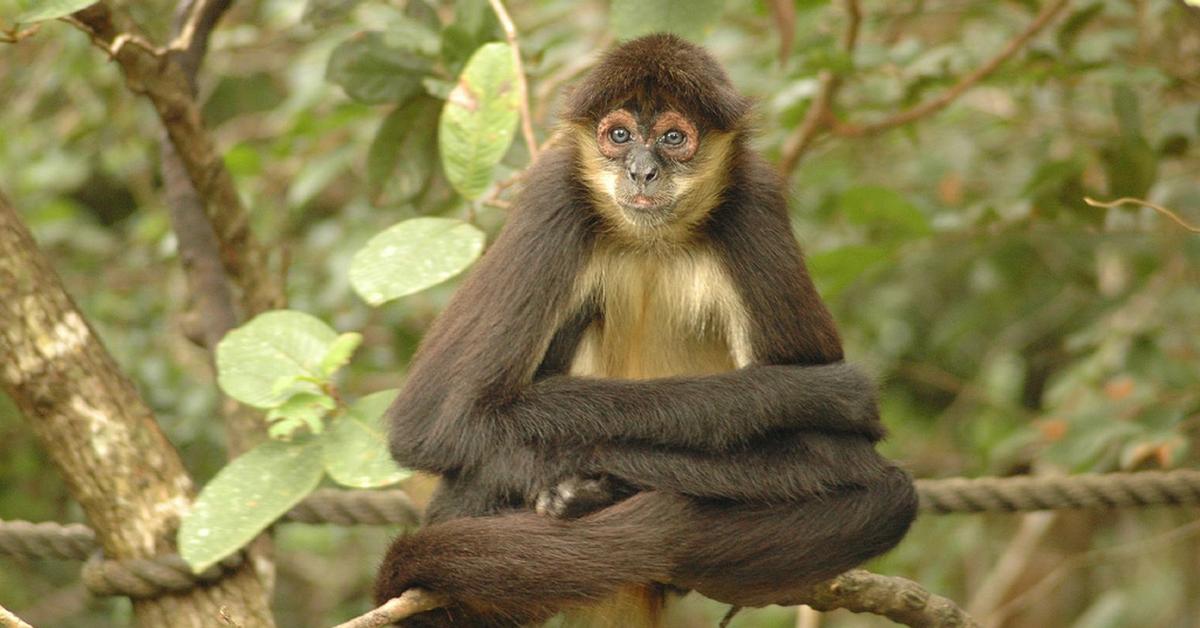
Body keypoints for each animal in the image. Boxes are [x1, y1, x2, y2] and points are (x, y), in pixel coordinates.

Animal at [374, 33, 916, 628]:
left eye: (674, 138)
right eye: (619, 136)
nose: (641, 171)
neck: (650, 239)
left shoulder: (755, 203)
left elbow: (840, 454)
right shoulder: (552, 194)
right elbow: (436, 420)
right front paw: (805, 394)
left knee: (885, 498)